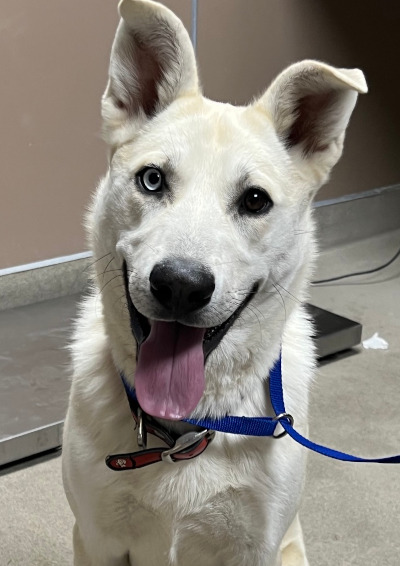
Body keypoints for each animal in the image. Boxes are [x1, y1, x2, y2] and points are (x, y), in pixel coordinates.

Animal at [62, 1, 367, 564]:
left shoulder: (254, 547)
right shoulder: (96, 541)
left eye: (255, 201)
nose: (180, 286)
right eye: (152, 180)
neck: (183, 433)